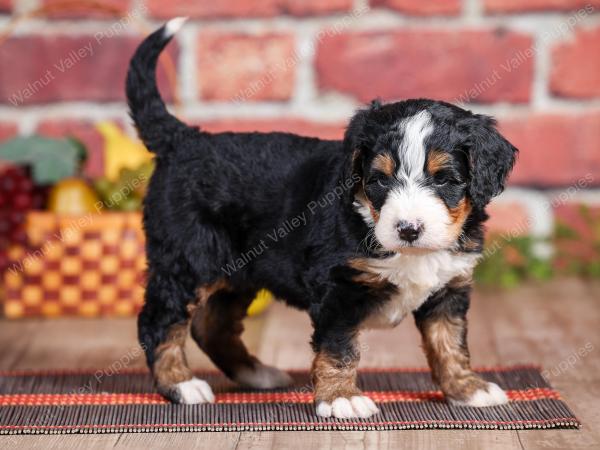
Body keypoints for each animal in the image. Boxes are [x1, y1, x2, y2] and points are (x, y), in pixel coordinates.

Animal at [127, 17, 520, 418]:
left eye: (444, 180)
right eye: (379, 179)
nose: (408, 229)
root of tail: (184, 140)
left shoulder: (448, 289)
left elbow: (450, 342)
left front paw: (467, 389)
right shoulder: (339, 286)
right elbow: (339, 346)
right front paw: (341, 397)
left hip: (239, 268)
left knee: (212, 324)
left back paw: (256, 373)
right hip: (188, 258)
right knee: (160, 321)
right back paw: (181, 384)